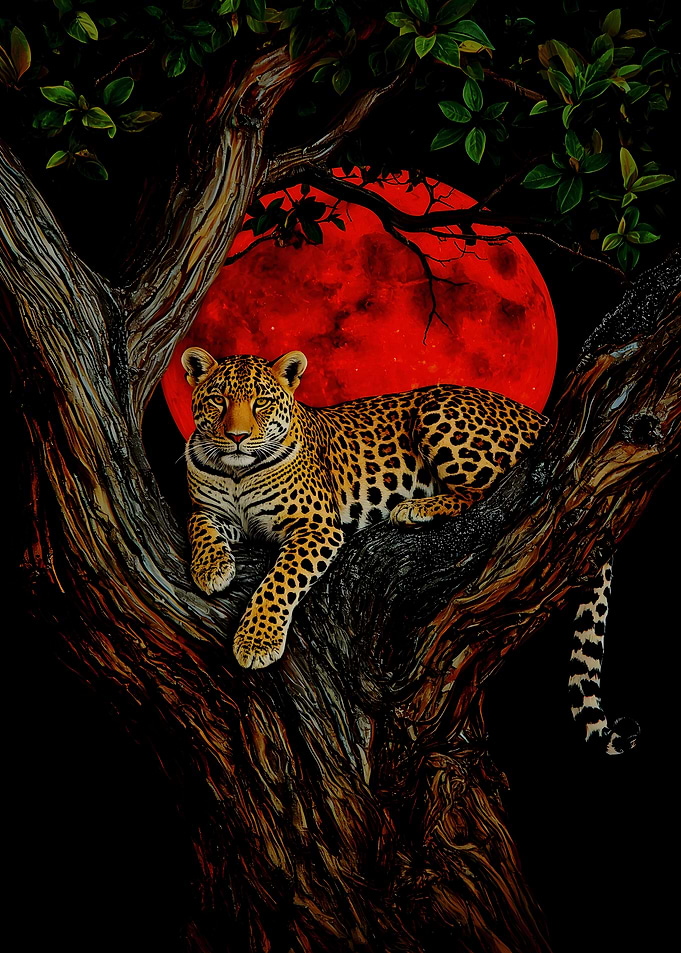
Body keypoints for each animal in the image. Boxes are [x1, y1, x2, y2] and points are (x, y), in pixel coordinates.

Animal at [182, 346, 638, 754]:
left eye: (260, 402)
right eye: (218, 400)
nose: (237, 437)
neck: (236, 472)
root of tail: (541, 414)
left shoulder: (317, 525)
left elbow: (279, 580)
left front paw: (256, 642)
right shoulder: (209, 510)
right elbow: (198, 524)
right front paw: (211, 568)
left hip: (438, 413)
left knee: (497, 488)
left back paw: (415, 509)